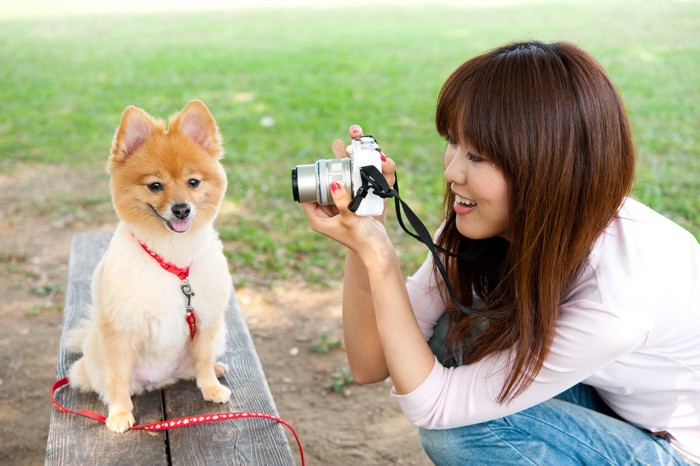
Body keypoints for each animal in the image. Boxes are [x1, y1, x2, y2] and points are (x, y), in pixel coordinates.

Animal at [68, 99, 232, 434]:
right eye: (155, 186)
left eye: (193, 182)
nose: (182, 209)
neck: (173, 258)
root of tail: (160, 381)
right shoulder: (120, 328)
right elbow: (118, 376)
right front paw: (120, 413)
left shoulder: (206, 318)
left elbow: (202, 358)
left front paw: (209, 386)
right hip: (94, 355)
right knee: (101, 379)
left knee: (195, 365)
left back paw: (215, 368)